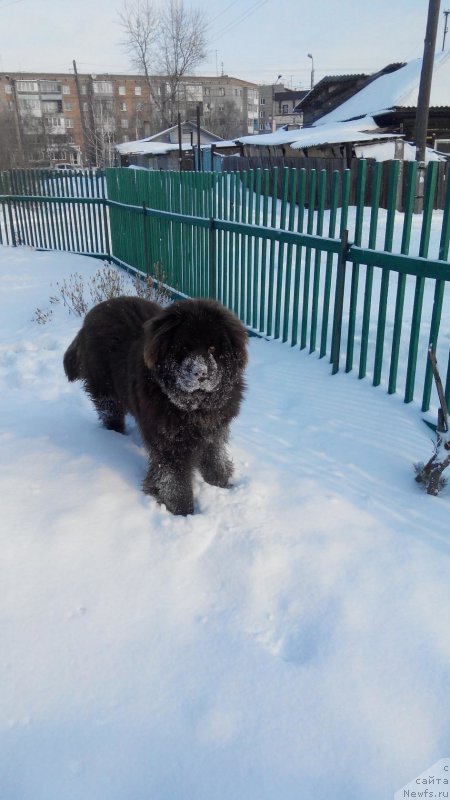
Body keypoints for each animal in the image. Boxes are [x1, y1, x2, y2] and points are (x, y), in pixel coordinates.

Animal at [62, 296, 248, 516]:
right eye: (184, 347)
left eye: (212, 348)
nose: (201, 373)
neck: (194, 407)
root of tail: (91, 315)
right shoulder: (169, 444)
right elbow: (174, 481)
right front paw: (182, 512)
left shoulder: (214, 431)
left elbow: (215, 461)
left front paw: (222, 486)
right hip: (106, 392)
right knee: (110, 414)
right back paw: (114, 436)